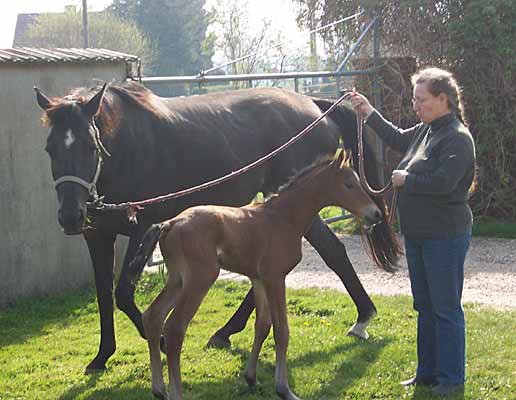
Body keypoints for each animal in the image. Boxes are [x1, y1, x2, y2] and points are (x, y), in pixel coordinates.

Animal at [133, 152, 382, 398]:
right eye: (349, 184)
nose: (376, 213)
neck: (284, 217)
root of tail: (169, 224)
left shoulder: (259, 279)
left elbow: (262, 325)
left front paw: (251, 378)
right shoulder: (275, 278)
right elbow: (281, 330)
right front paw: (284, 389)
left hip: (177, 279)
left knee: (152, 317)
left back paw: (159, 389)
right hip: (200, 279)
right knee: (174, 328)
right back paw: (174, 392)